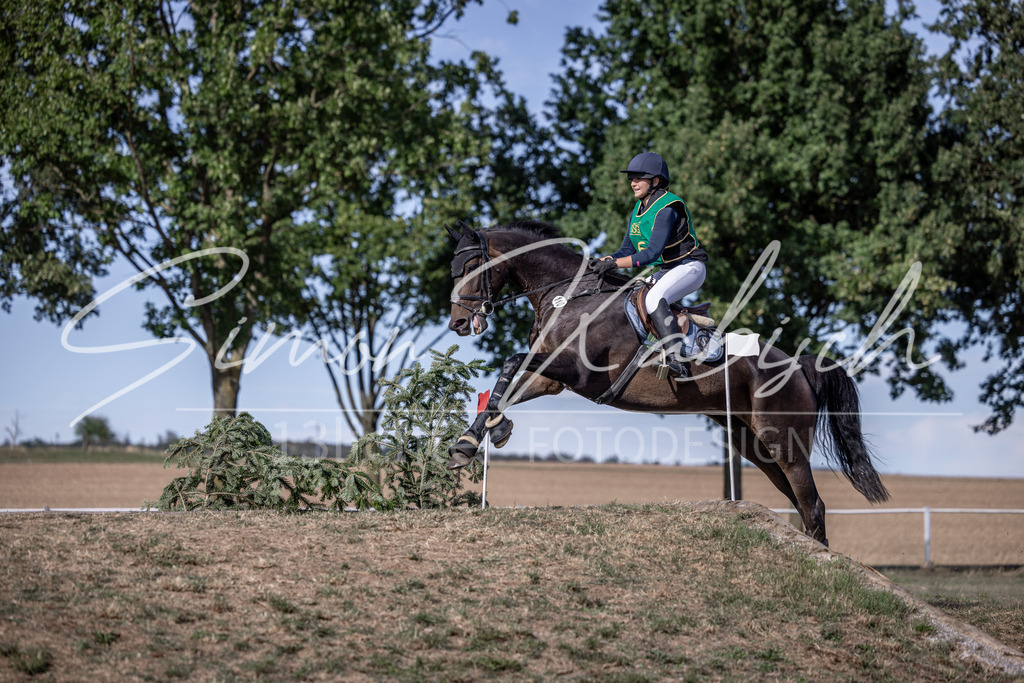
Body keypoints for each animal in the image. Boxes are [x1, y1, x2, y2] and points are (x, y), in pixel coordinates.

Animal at [444, 220, 889, 545]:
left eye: (470, 268)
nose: (459, 324)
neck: (570, 296)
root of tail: (798, 364)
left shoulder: (578, 372)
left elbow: (510, 363)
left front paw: (484, 433)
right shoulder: (554, 378)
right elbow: (507, 388)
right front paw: (472, 440)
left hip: (785, 441)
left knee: (813, 506)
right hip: (754, 444)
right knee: (800, 502)